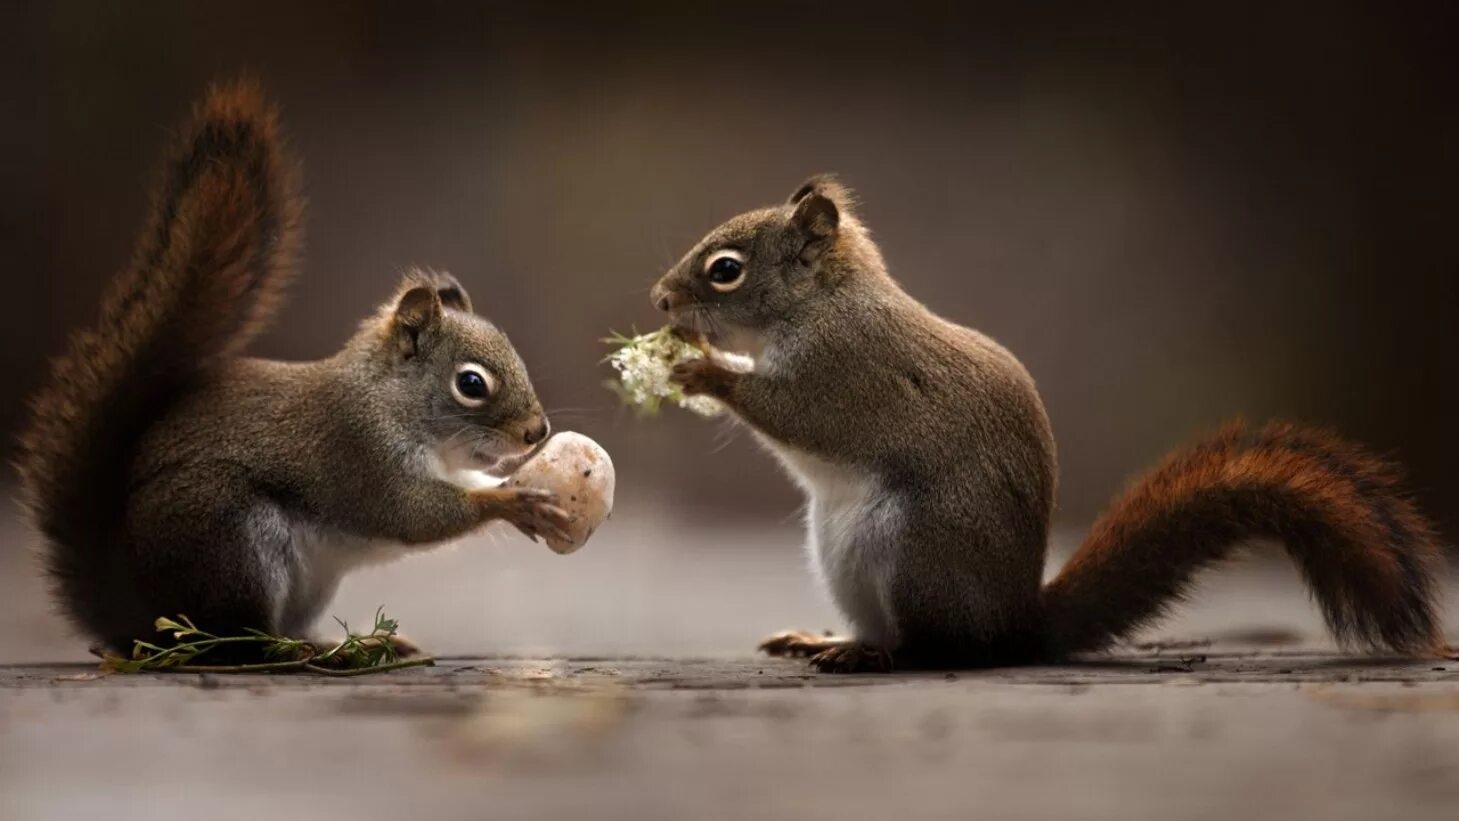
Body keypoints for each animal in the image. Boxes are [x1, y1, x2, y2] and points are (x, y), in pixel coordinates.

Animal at [15, 80, 571, 658]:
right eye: (471, 384)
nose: (537, 432)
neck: (389, 399)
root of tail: (135, 612)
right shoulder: (360, 449)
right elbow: (414, 514)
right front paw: (510, 502)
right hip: (235, 542)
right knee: (237, 640)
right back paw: (306, 652)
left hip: (304, 579)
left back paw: (356, 645)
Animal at [650, 175, 1448, 673]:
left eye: (725, 269)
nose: (659, 300)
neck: (821, 302)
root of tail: (1013, 620)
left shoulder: (843, 370)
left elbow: (794, 414)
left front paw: (701, 369)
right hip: (840, 554)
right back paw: (825, 638)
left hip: (914, 551)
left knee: (941, 650)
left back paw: (871, 654)